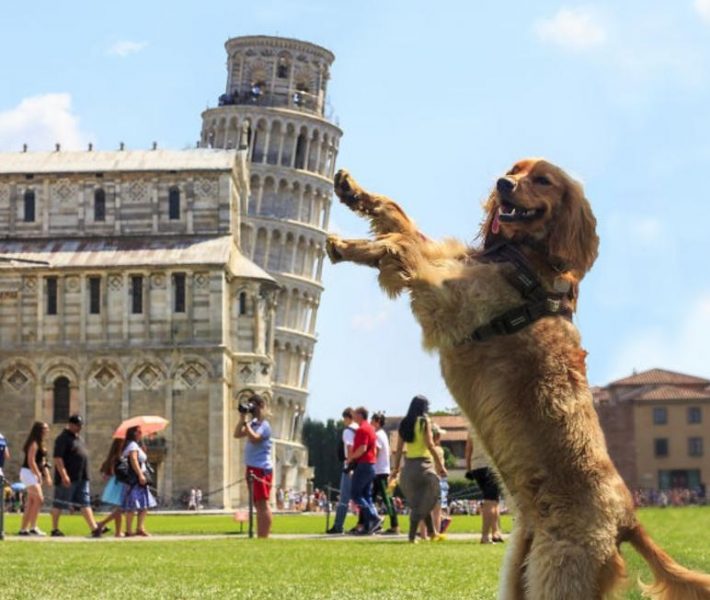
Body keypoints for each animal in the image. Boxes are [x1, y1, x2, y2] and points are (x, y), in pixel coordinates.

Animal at [326, 161, 710, 600]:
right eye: (515, 169)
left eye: (543, 179)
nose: (502, 184)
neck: (524, 261)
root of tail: (628, 518)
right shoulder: (447, 265)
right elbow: (399, 219)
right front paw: (354, 194)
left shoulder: (445, 297)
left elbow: (401, 244)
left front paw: (349, 245)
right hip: (520, 570)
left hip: (557, 571)